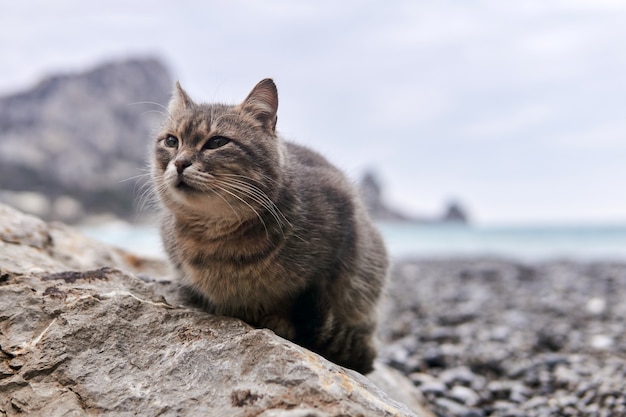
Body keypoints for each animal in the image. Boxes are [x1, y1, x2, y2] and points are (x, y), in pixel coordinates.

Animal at [149, 79, 388, 374]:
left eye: (217, 142)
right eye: (172, 141)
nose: (180, 162)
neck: (216, 237)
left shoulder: (339, 244)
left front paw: (278, 320)